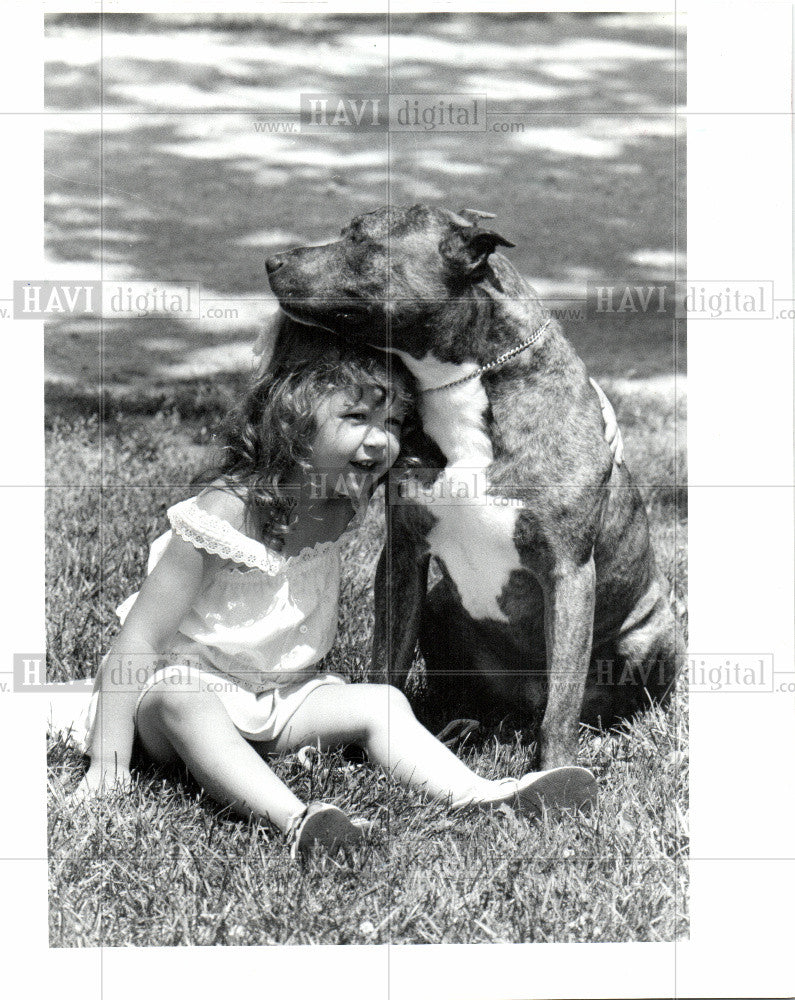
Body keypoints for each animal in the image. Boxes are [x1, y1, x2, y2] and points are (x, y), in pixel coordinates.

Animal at [264, 203, 680, 764]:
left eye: (361, 240)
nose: (271, 260)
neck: (460, 385)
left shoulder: (568, 572)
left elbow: (562, 704)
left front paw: (555, 770)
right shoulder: (403, 554)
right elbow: (387, 664)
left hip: (654, 634)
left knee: (589, 703)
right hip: (442, 604)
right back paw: (460, 724)